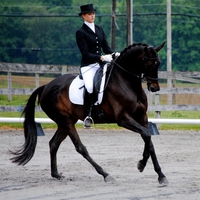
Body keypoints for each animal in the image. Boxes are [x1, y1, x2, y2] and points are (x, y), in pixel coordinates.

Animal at [10, 41, 168, 186]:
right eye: (148, 63)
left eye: (158, 63)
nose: (155, 88)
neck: (127, 82)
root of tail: (46, 86)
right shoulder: (123, 119)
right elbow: (147, 135)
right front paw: (142, 165)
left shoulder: (142, 116)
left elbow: (149, 141)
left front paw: (159, 174)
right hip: (65, 121)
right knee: (80, 147)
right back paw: (105, 174)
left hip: (65, 122)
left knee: (53, 144)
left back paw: (56, 174)